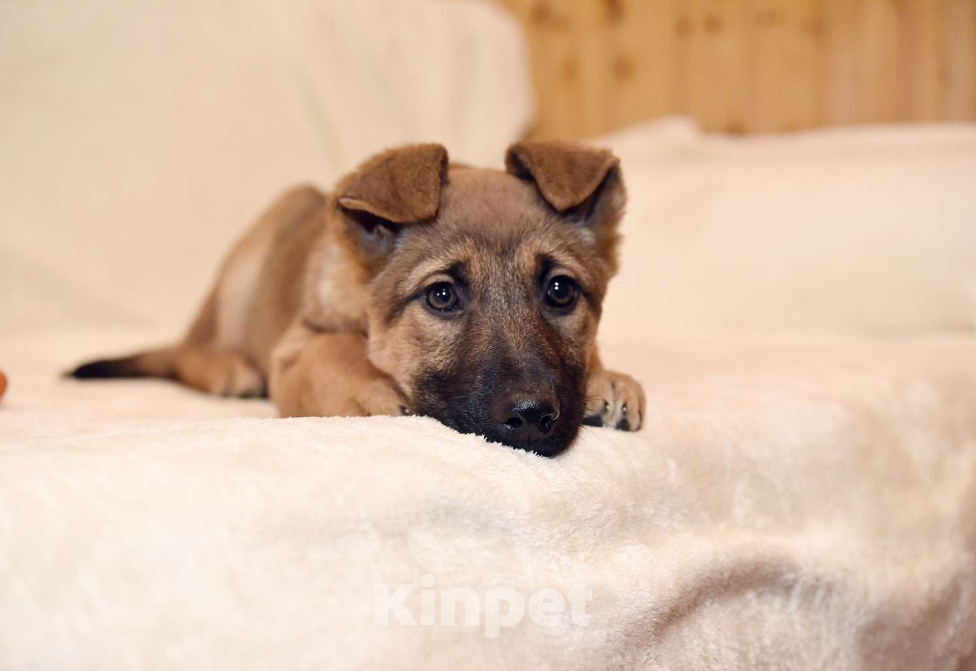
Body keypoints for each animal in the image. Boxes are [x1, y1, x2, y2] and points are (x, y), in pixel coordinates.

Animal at [70, 142, 648, 456]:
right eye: (442, 296)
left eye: (560, 291)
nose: (531, 416)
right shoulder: (295, 351)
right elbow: (336, 352)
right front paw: (374, 388)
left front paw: (606, 378)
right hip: (254, 250)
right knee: (189, 348)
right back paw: (225, 368)